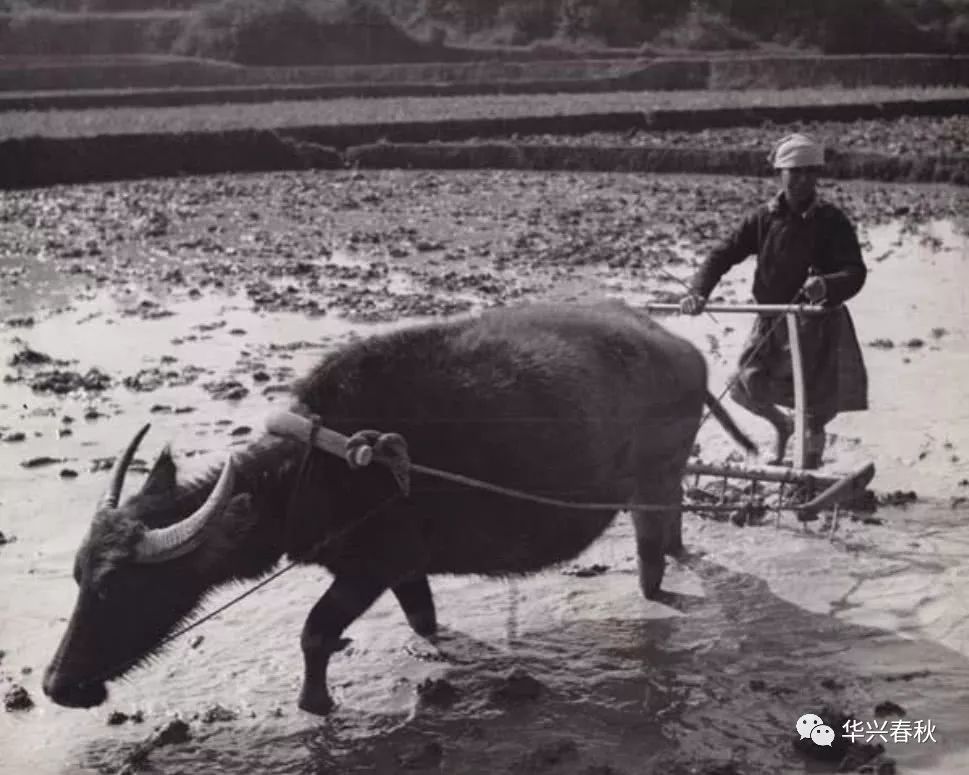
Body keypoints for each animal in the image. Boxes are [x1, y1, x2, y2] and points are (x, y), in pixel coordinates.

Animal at [41, 298, 752, 716]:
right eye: (76, 578)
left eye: (117, 587)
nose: (56, 686)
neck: (317, 469)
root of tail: (683, 349)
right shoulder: (405, 570)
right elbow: (420, 618)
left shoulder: (368, 570)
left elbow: (315, 632)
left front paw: (315, 703)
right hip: (664, 479)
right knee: (671, 525)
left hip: (653, 479)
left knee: (650, 551)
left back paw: (657, 589)